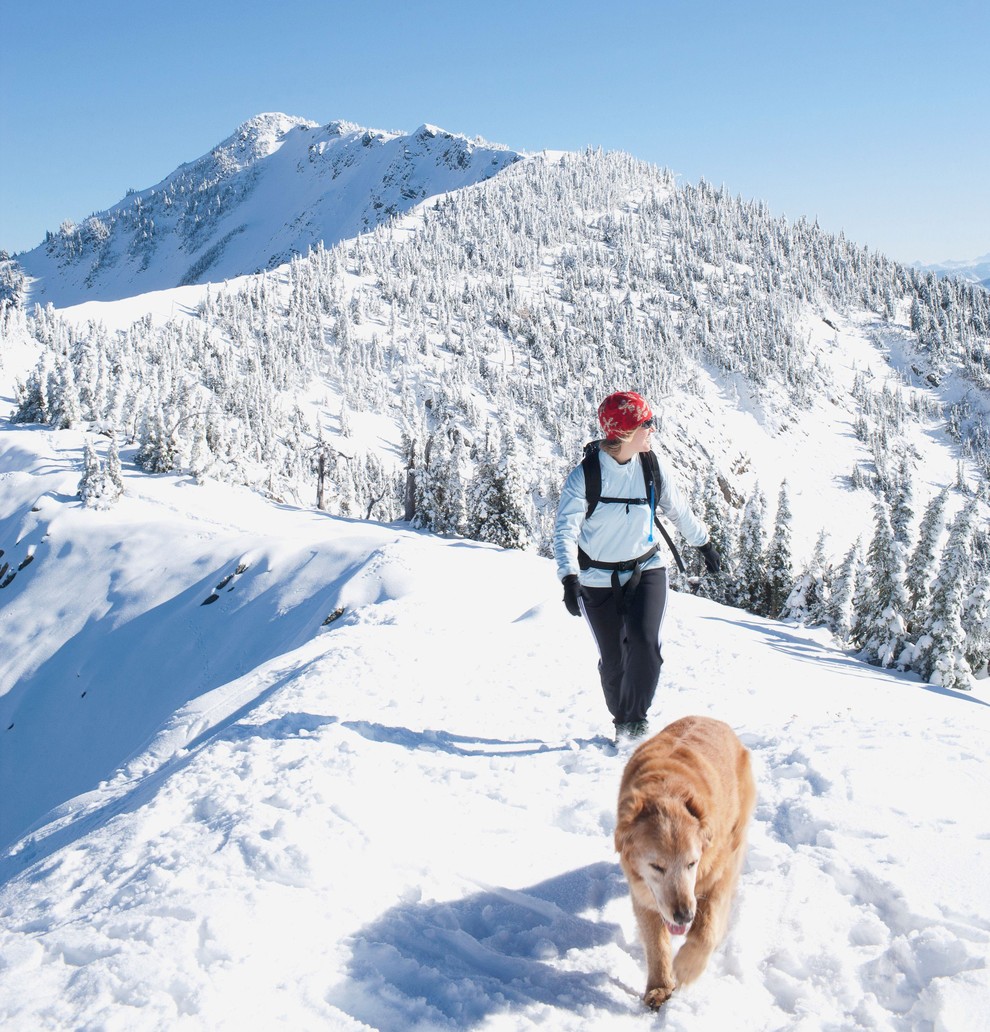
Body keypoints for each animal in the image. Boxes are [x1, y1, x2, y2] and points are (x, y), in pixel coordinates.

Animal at [615, 718, 755, 1007]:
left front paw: (687, 967)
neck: (666, 789)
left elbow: (706, 930)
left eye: (692, 863)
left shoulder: (718, 871)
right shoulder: (642, 889)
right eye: (657, 867)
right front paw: (659, 986)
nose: (684, 915)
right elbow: (656, 941)